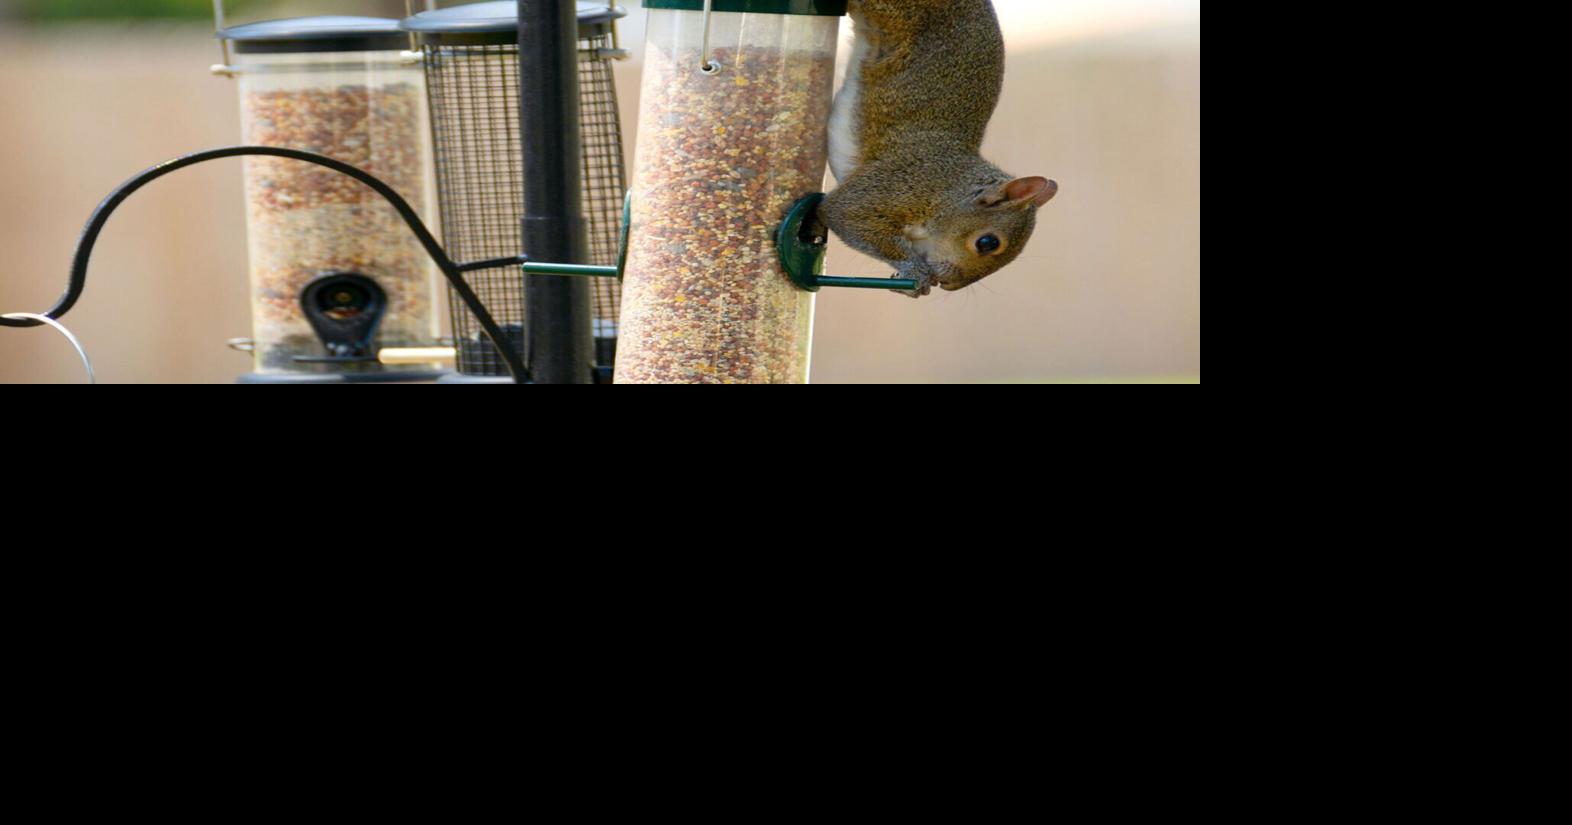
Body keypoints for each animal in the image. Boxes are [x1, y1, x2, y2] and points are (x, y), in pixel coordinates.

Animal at [819, 0, 1058, 298]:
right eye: (987, 243)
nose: (949, 285)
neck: (948, 189)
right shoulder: (900, 185)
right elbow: (844, 212)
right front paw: (916, 271)